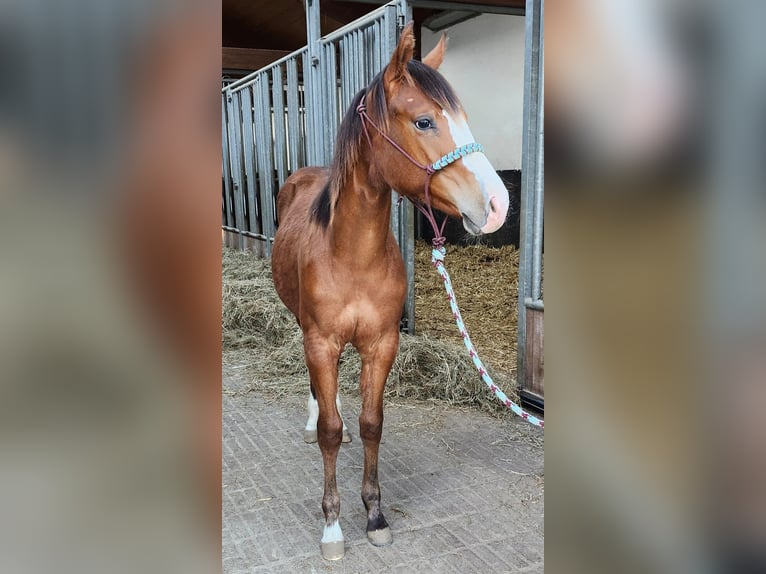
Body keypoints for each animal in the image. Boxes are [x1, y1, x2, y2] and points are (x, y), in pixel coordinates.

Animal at [271, 22, 509, 560]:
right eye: (423, 121)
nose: (499, 204)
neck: (352, 256)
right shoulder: (322, 341)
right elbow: (331, 431)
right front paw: (333, 527)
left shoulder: (382, 343)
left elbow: (370, 424)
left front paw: (375, 515)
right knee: (318, 397)